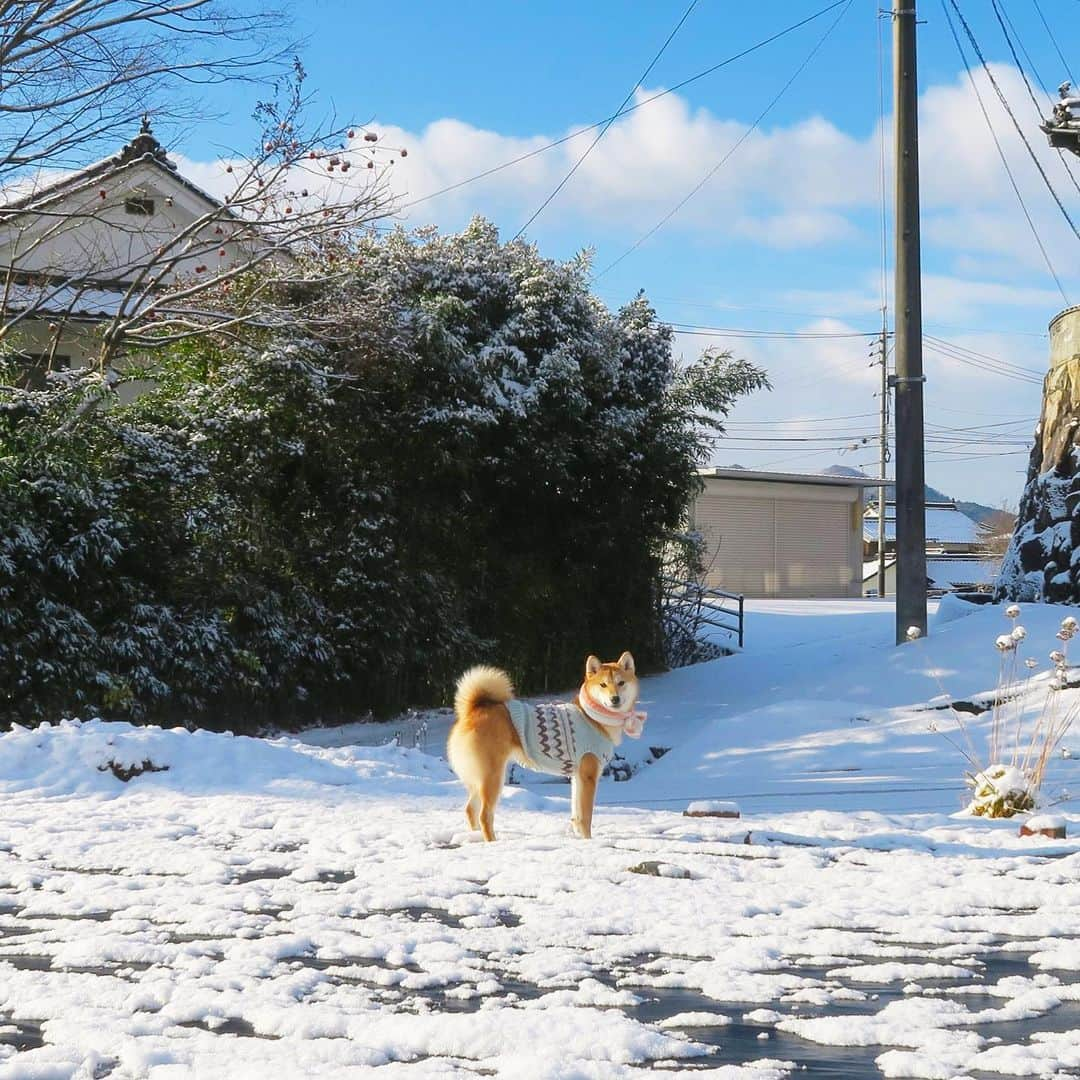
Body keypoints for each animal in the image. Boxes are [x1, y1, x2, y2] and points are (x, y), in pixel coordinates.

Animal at [444, 652, 643, 838]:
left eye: (621, 683)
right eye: (603, 685)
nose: (615, 699)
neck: (592, 717)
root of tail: (473, 709)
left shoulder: (577, 776)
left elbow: (576, 815)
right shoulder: (588, 776)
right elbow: (586, 817)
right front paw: (588, 841)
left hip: (480, 779)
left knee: (470, 810)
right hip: (492, 777)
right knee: (484, 815)